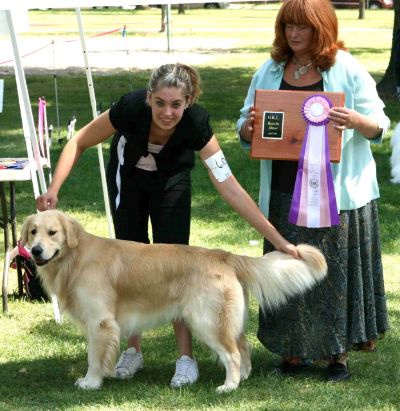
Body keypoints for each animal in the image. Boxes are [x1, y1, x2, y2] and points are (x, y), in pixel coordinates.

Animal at [21, 211, 326, 394]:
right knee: (243, 344)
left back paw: (229, 386)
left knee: (233, 353)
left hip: (205, 320)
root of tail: (225, 255)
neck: (75, 258)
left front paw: (91, 382)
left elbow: (94, 357)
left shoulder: (100, 322)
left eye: (52, 233)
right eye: (33, 232)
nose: (35, 250)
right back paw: (243, 378)